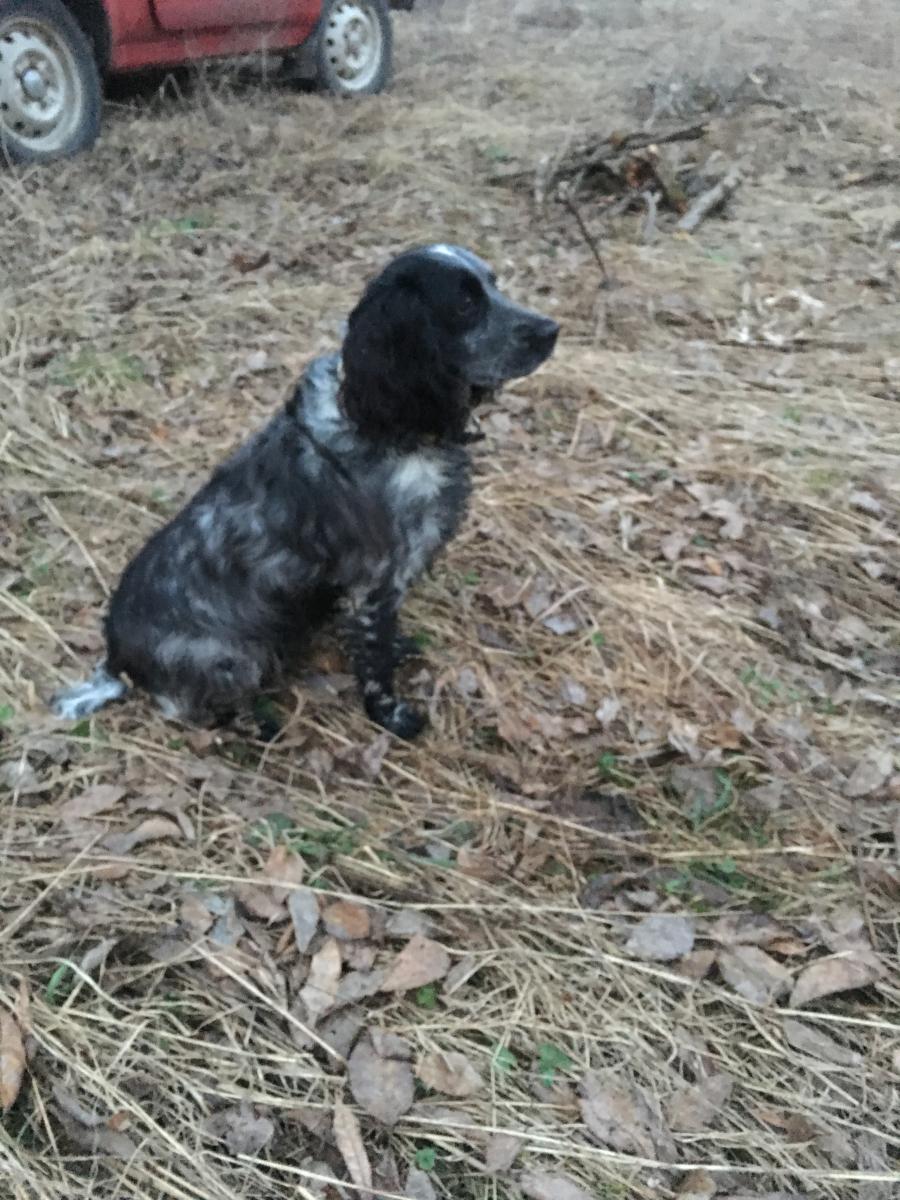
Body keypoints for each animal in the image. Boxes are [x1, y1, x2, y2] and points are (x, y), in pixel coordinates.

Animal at [50, 244, 559, 739]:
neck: (385, 424)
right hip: (234, 659)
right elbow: (375, 663)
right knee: (182, 708)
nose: (552, 329)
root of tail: (117, 658)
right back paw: (256, 725)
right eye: (465, 304)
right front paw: (391, 717)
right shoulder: (376, 583)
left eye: (493, 284)